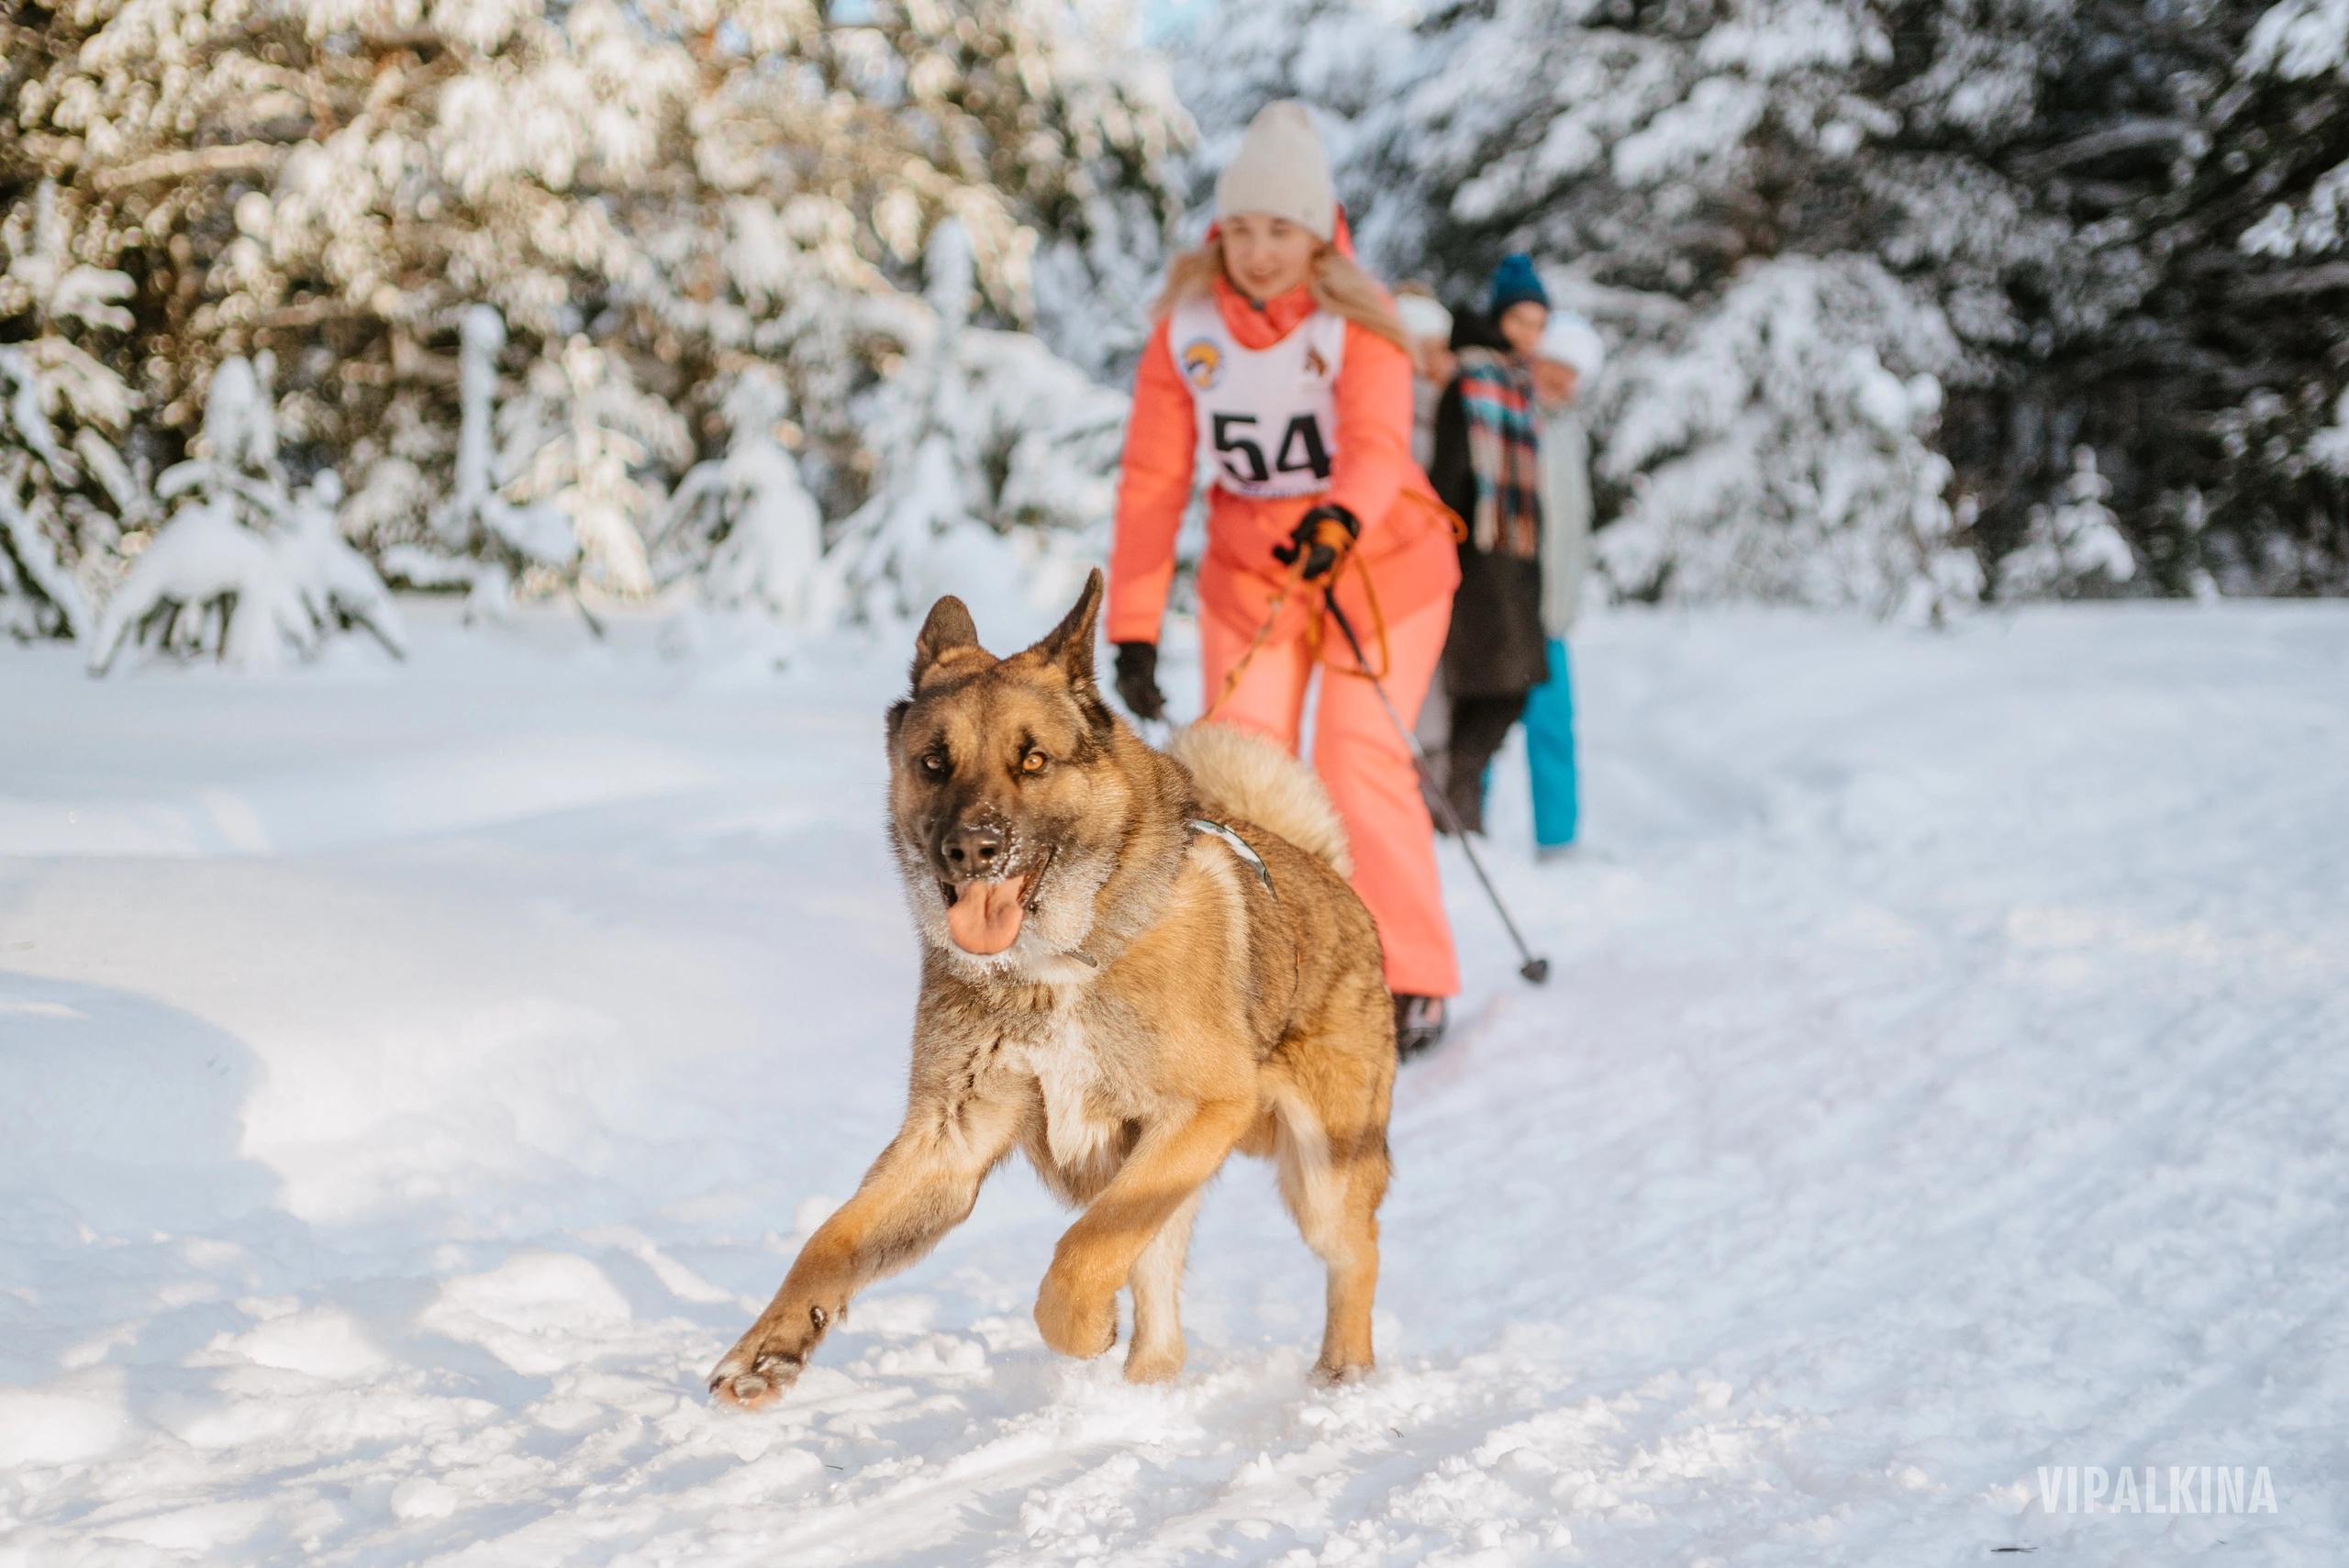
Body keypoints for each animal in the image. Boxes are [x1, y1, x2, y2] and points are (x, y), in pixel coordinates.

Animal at [699, 570, 1390, 1398]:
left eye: (1033, 761)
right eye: (934, 762)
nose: (973, 848)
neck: (1054, 964)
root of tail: (1332, 876)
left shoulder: (1203, 1109)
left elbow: (1083, 1249)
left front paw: (1083, 1327)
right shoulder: (948, 1141)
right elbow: (830, 1240)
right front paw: (769, 1346)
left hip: (1320, 1171)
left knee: (1353, 1253)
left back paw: (1343, 1374)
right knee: (1164, 1314)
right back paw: (1143, 1392)